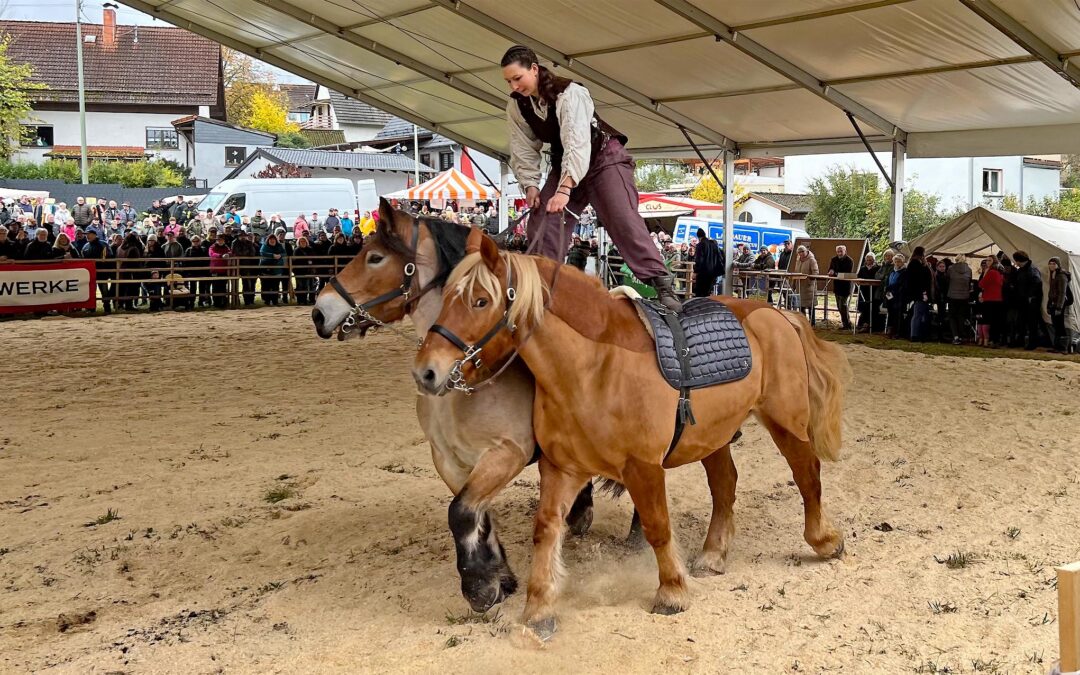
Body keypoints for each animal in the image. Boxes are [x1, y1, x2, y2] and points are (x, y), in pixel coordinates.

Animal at [311, 198, 600, 609]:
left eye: (375, 257)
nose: (320, 311)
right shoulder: (449, 459)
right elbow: (476, 514)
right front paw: (499, 575)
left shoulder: (506, 453)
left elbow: (460, 512)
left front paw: (479, 586)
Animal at [412, 228, 851, 639]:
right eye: (446, 296)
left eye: (480, 301)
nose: (426, 372)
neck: (593, 367)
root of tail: (775, 314)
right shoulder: (561, 468)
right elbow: (546, 529)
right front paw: (538, 608)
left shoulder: (643, 467)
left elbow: (657, 527)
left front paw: (671, 591)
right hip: (713, 437)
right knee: (726, 485)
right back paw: (713, 554)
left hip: (786, 422)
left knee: (807, 475)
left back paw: (824, 540)